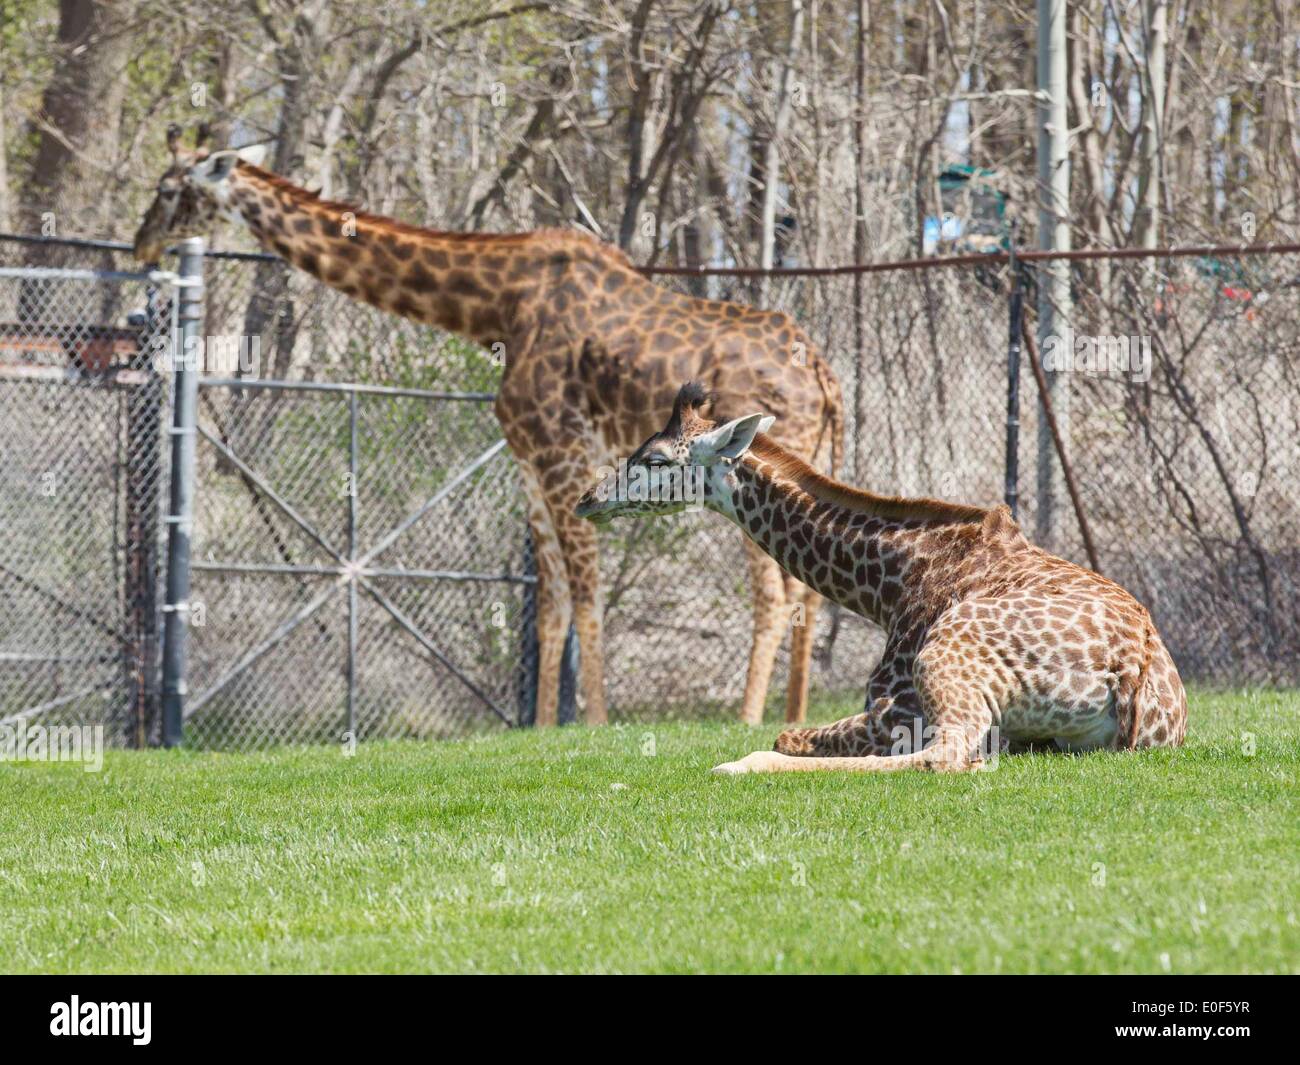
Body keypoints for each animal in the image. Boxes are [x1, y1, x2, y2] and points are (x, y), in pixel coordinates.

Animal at [131, 124, 842, 723]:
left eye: (169, 191)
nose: (140, 245)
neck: (498, 306)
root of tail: (825, 377)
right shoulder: (527, 458)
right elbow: (550, 605)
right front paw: (543, 729)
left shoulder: (561, 448)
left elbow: (585, 594)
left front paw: (595, 724)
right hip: (808, 454)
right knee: (806, 590)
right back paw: (795, 716)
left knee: (775, 592)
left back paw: (749, 718)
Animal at [579, 382, 1190, 775]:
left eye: (657, 459)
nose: (588, 499)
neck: (891, 584)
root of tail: (1133, 672)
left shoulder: (896, 708)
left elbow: (789, 731)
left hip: (946, 655)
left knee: (951, 757)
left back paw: (738, 764)